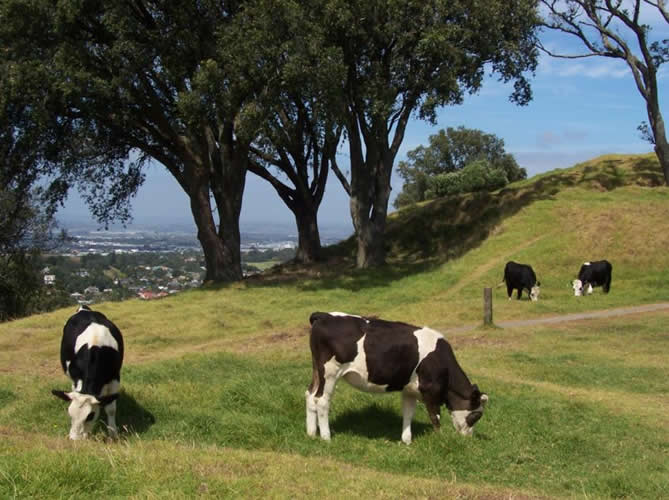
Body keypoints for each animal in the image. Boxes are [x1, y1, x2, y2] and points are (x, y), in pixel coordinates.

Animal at [51, 302, 124, 440]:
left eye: (90, 416)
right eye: (70, 414)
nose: (74, 439)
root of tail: (84, 308)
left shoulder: (115, 378)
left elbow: (111, 408)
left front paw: (113, 433)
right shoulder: (76, 378)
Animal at [306, 312, 488, 446]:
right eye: (476, 415)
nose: (468, 438)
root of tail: (324, 315)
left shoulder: (410, 390)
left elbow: (408, 413)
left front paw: (406, 441)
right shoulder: (431, 390)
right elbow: (435, 417)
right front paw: (441, 439)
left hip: (317, 370)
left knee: (309, 395)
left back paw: (311, 433)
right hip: (330, 372)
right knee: (321, 400)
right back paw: (326, 437)